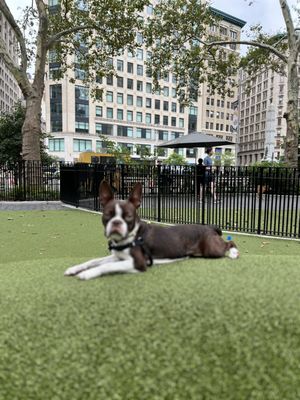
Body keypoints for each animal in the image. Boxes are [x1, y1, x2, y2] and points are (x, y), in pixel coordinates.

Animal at [63, 180, 239, 280]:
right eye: (107, 215)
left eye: (128, 216)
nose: (116, 222)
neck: (131, 237)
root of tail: (209, 227)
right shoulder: (117, 256)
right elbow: (94, 261)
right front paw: (74, 268)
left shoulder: (138, 262)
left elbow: (106, 266)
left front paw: (87, 274)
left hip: (212, 249)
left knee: (229, 244)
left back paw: (234, 253)